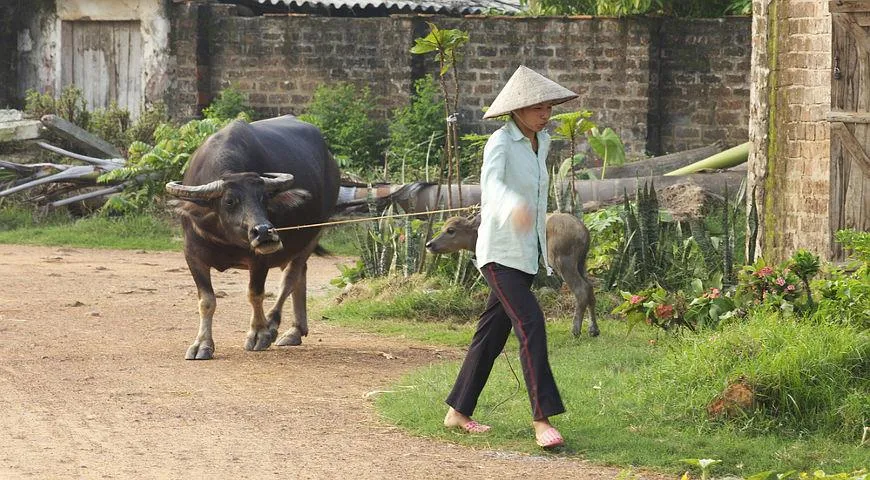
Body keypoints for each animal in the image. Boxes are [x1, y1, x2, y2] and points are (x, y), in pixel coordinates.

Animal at [164, 114, 340, 358]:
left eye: (264, 198)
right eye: (229, 201)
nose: (265, 232)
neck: (226, 239)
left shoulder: (259, 258)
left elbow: (255, 294)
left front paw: (258, 334)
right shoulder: (192, 255)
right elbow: (206, 301)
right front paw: (202, 344)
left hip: (314, 233)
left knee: (291, 277)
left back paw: (274, 326)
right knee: (300, 274)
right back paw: (295, 331)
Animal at [428, 212, 600, 336]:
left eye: (451, 230)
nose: (429, 244)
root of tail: (584, 231)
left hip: (563, 262)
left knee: (581, 290)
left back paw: (575, 330)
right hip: (581, 263)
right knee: (590, 288)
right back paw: (594, 330)